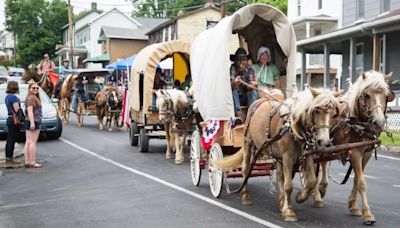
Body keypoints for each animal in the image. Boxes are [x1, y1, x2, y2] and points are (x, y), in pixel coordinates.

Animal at [216, 88, 340, 222]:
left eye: (333, 113)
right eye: (316, 111)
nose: (324, 141)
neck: (292, 127)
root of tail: (258, 101)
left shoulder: (307, 155)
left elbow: (311, 181)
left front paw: (300, 197)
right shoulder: (287, 157)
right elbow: (288, 185)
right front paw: (289, 211)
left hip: (277, 155)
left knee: (280, 176)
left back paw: (281, 202)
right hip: (248, 142)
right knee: (246, 169)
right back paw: (245, 196)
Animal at [312, 71, 394, 224]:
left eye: (386, 95)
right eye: (367, 95)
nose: (379, 121)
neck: (358, 123)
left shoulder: (366, 153)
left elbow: (356, 178)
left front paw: (354, 206)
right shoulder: (355, 152)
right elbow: (362, 182)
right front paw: (367, 214)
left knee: (323, 163)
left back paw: (322, 188)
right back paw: (317, 196)